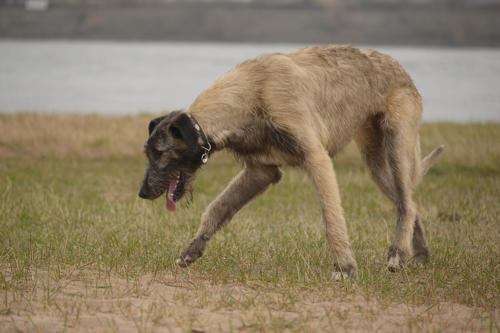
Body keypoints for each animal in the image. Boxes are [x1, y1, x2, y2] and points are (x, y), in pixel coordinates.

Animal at [139, 44, 444, 278]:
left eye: (160, 152)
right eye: (148, 152)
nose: (142, 193)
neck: (251, 95)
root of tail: (397, 64)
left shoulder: (317, 158)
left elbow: (331, 218)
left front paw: (345, 267)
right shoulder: (260, 171)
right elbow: (216, 208)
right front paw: (192, 249)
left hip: (396, 146)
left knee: (406, 203)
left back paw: (397, 254)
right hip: (375, 160)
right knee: (410, 203)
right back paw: (418, 254)